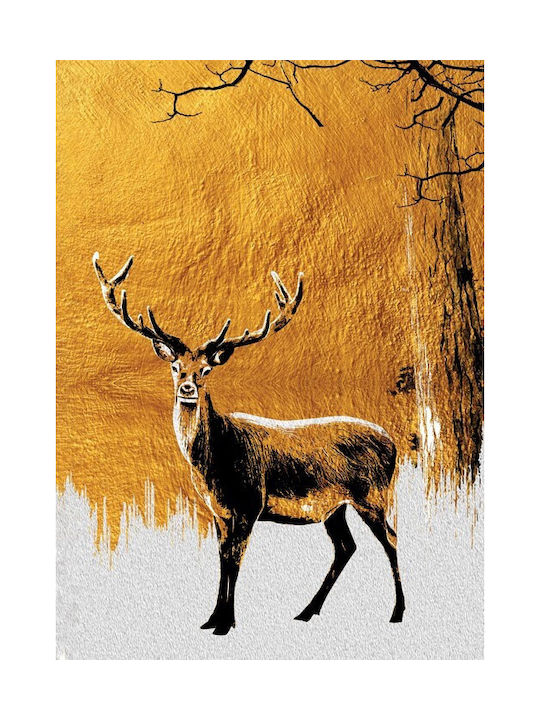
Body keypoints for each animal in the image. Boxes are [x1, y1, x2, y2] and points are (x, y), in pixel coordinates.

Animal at [93, 252, 405, 635]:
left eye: (205, 370)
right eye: (176, 366)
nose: (188, 388)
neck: (215, 465)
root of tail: (393, 443)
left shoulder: (250, 503)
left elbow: (236, 561)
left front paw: (226, 623)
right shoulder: (219, 511)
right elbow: (222, 559)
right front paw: (211, 618)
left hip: (372, 494)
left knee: (391, 538)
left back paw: (397, 612)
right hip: (336, 507)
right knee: (346, 546)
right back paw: (306, 611)